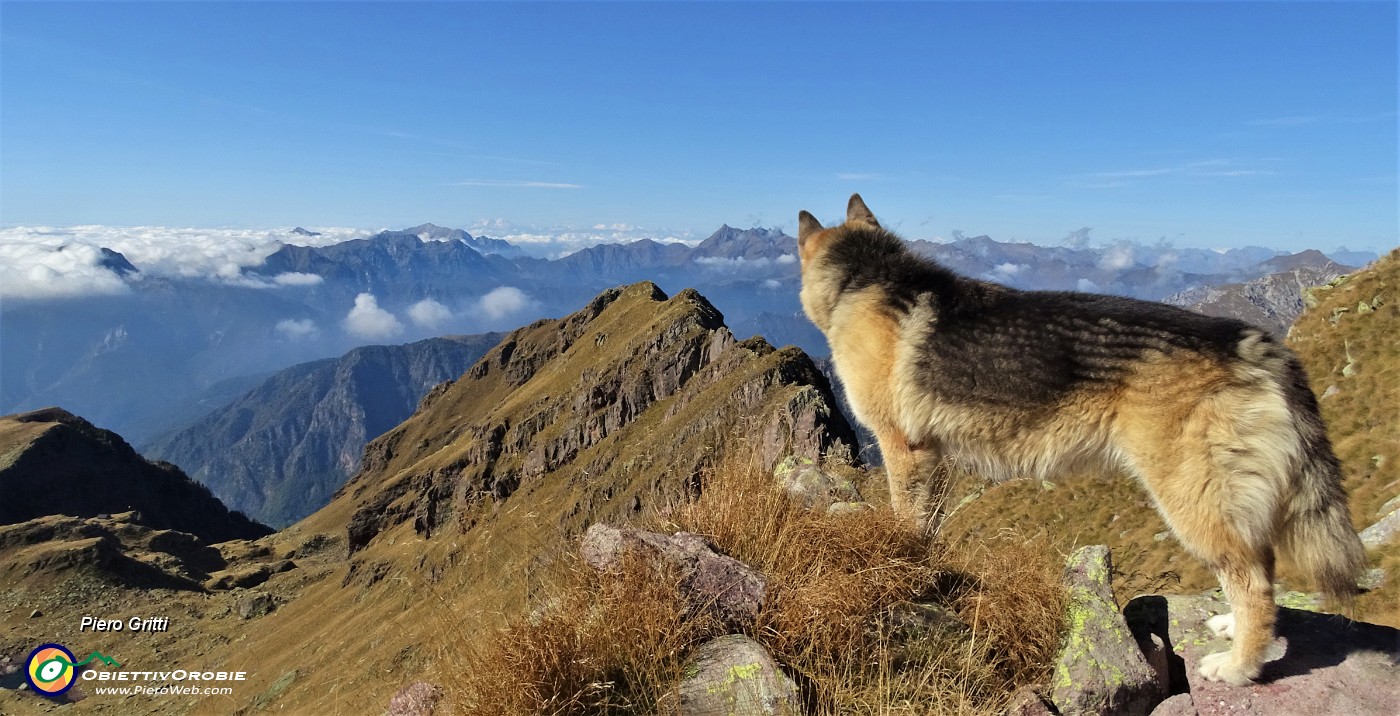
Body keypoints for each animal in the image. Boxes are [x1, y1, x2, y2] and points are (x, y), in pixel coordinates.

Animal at [800, 193, 1366, 686]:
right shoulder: (933, 458)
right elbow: (930, 524)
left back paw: (1238, 668)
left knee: (1255, 584)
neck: (866, 278)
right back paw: (1232, 630)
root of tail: (1253, 344)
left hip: (1192, 501)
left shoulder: (905, 450)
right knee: (1261, 567)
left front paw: (905, 559)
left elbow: (907, 520)